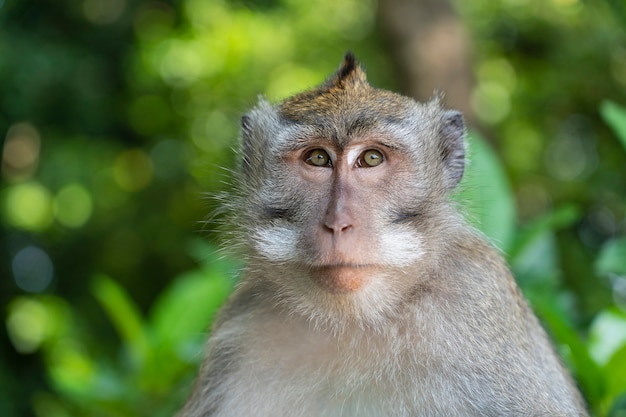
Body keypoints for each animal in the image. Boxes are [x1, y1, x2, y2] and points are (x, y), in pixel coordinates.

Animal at [178, 52, 588, 416]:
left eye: (371, 158)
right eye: (317, 158)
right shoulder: (241, 324)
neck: (353, 322)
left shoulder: (475, 296)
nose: (338, 223)